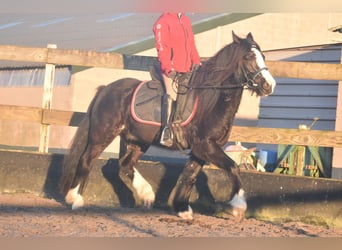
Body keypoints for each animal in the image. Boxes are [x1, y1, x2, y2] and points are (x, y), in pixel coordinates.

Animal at [60, 31, 276, 221]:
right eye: (248, 56)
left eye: (263, 56)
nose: (269, 85)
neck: (210, 99)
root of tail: (106, 89)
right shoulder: (206, 145)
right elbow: (232, 167)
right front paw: (239, 206)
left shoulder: (200, 150)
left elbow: (189, 176)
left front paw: (182, 208)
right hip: (102, 135)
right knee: (86, 161)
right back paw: (75, 199)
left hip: (138, 141)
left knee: (125, 164)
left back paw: (147, 195)